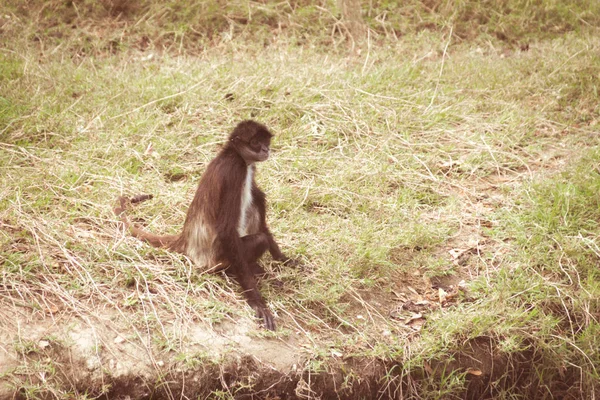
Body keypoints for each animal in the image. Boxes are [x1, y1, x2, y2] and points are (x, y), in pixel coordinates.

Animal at [115, 119, 292, 332]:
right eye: (256, 142)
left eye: (266, 141)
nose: (266, 149)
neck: (233, 154)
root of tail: (185, 238)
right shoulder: (234, 171)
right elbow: (226, 230)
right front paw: (257, 302)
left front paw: (283, 259)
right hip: (217, 260)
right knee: (259, 237)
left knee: (257, 201)